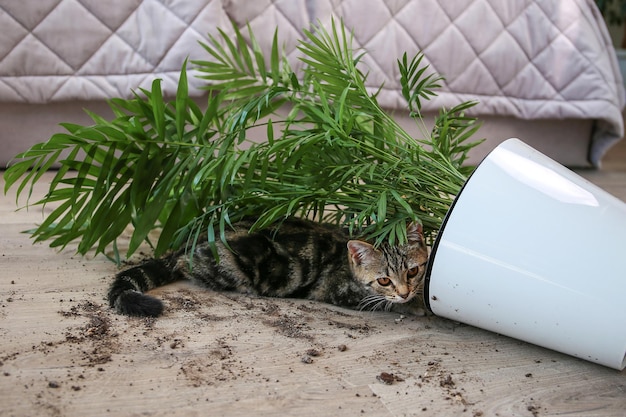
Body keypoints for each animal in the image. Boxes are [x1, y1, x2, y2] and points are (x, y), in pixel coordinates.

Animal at [108, 216, 428, 316]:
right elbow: (383, 303)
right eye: (384, 280)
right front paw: (416, 305)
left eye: (413, 271)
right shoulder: (337, 290)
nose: (404, 292)